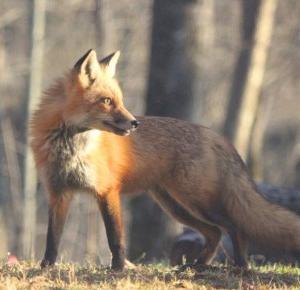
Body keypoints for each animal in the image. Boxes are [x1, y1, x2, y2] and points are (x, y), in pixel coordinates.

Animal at [30, 49, 300, 270]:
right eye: (107, 101)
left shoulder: (107, 191)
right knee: (214, 233)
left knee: (234, 227)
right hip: (176, 206)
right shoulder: (58, 193)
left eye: (120, 100)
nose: (134, 123)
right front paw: (46, 267)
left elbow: (114, 237)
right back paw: (198, 265)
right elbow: (52, 239)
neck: (70, 146)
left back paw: (240, 265)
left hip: (196, 201)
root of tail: (213, 134)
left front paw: (118, 269)